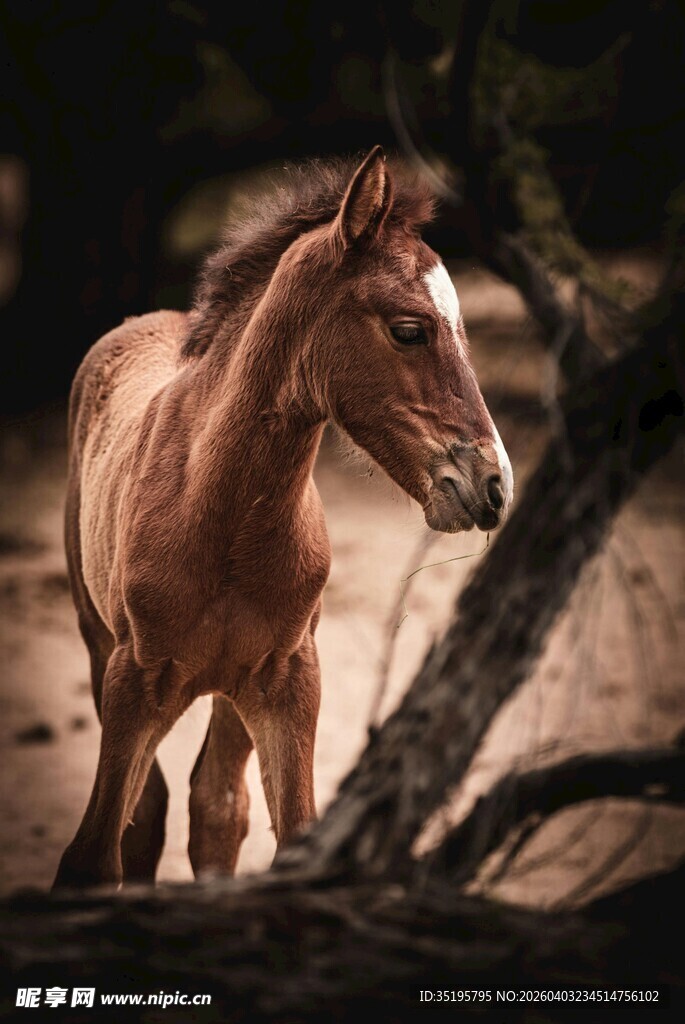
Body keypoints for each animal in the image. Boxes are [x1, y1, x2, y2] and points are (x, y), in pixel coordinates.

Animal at [53, 146, 513, 889]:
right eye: (409, 330)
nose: (493, 485)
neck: (221, 520)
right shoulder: (133, 681)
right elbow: (95, 853)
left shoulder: (290, 682)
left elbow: (287, 833)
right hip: (98, 642)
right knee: (153, 810)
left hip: (230, 690)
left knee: (215, 805)